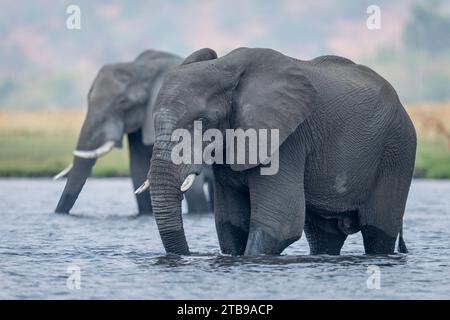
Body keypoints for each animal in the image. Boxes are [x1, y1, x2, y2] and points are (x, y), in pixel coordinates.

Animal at [143, 47, 414, 256]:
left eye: (203, 121)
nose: (189, 255)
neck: (225, 68)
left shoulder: (287, 139)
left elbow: (280, 224)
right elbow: (230, 224)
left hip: (397, 150)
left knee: (378, 231)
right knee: (324, 235)